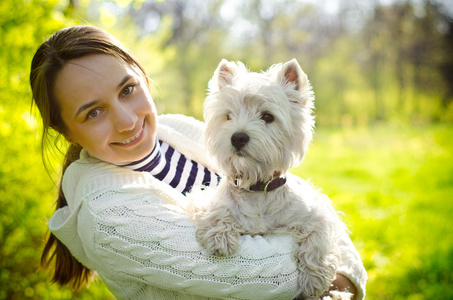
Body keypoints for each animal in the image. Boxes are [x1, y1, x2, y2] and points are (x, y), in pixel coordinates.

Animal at [191, 59, 350, 300]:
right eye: (228, 116)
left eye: (267, 117)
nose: (238, 137)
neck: (257, 187)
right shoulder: (202, 200)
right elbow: (217, 209)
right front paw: (220, 236)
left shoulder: (316, 213)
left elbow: (319, 235)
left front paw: (315, 277)